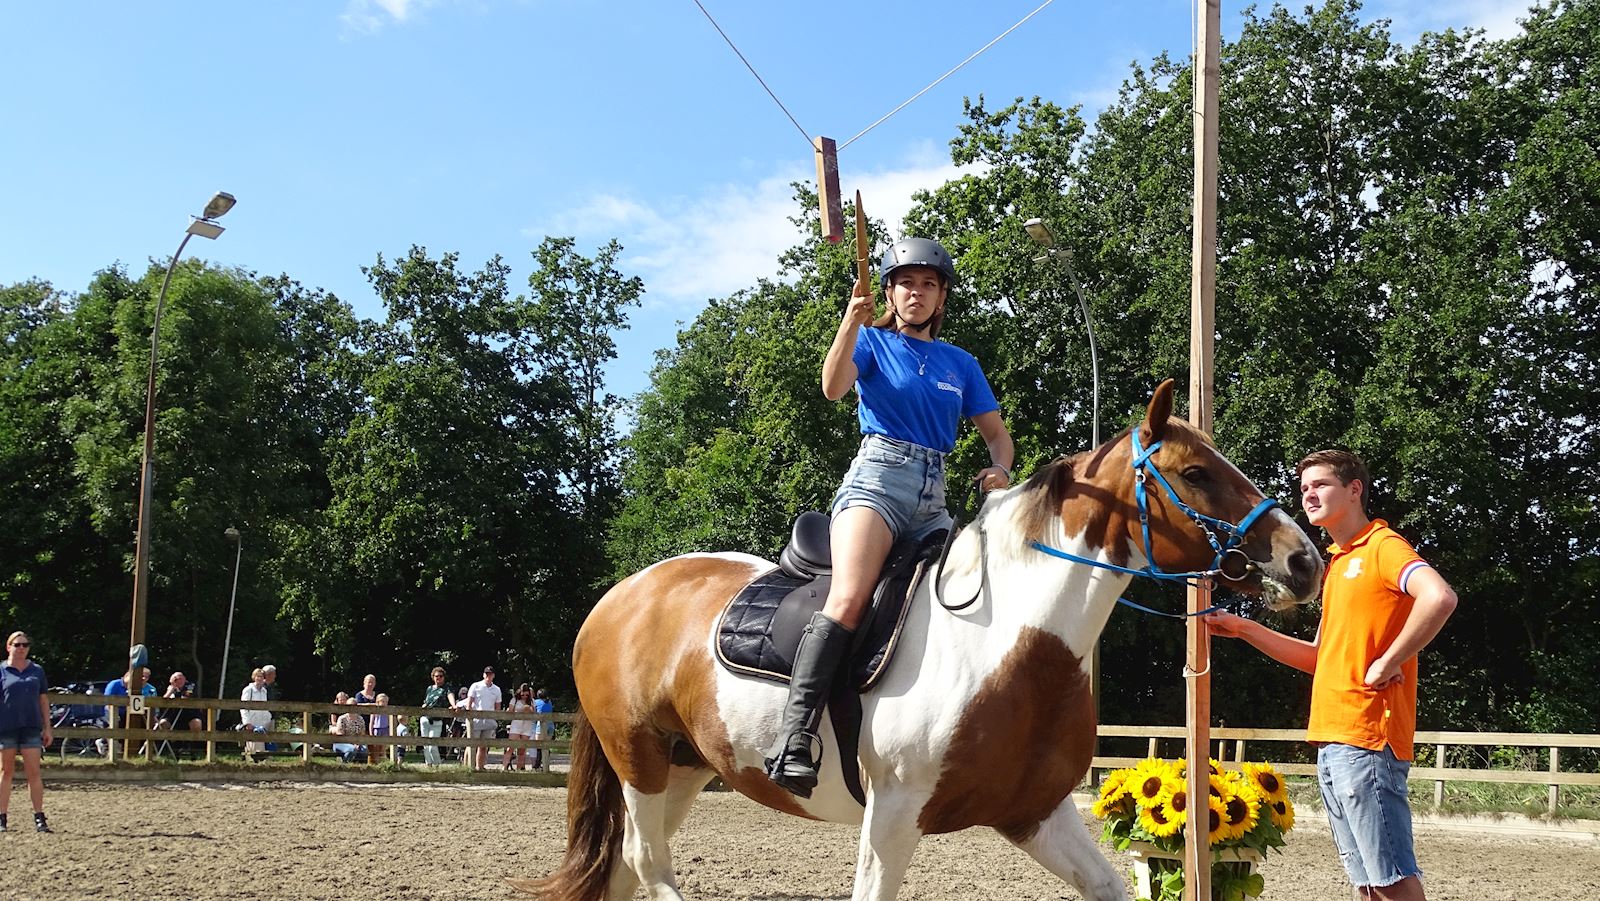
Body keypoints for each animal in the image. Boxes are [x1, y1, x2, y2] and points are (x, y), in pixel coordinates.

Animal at [531, 382, 1318, 901]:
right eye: (1195, 473)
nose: (1304, 559)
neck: (1004, 643)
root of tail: (621, 596)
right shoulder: (893, 818)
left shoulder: (1037, 815)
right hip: (638, 757)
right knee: (646, 861)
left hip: (685, 766)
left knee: (629, 867)